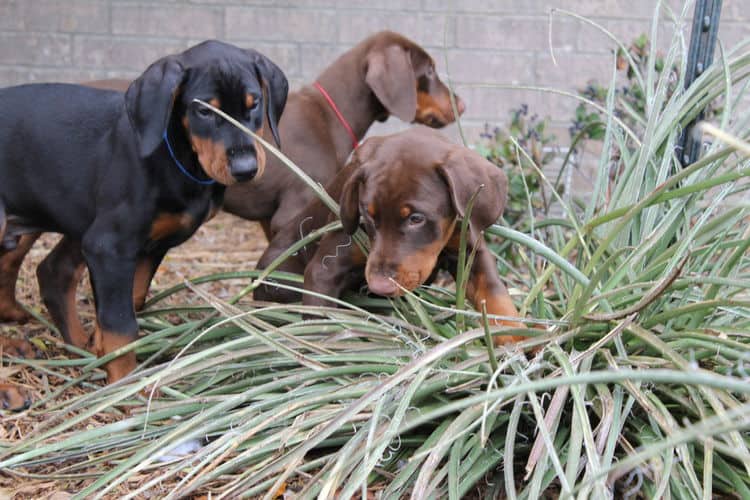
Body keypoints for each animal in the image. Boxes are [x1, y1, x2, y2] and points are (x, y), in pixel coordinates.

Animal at [0, 40, 288, 382]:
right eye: (204, 110)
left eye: (254, 104)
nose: (246, 169)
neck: (175, 156)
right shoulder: (109, 245)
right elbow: (121, 324)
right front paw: (124, 383)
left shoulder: (152, 244)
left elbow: (132, 300)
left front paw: (100, 347)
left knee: (48, 270)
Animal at [258, 127, 528, 346]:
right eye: (367, 215)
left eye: (416, 218)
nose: (380, 287)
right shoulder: (325, 269)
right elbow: (321, 321)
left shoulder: (468, 246)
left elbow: (494, 294)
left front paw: (518, 337)